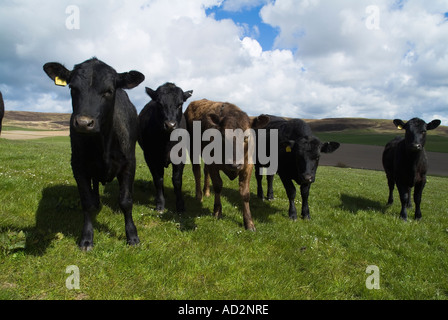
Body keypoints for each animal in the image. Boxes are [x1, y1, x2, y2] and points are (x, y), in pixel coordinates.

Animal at [43, 58, 144, 251]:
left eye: (109, 91)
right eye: (73, 87)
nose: (84, 123)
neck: (101, 144)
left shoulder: (129, 163)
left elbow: (126, 201)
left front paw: (132, 235)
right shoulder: (78, 165)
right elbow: (86, 202)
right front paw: (87, 238)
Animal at [137, 83, 192, 212]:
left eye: (180, 104)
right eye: (159, 103)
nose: (170, 125)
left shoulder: (181, 155)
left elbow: (177, 180)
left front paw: (180, 205)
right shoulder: (150, 157)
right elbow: (158, 179)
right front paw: (160, 204)